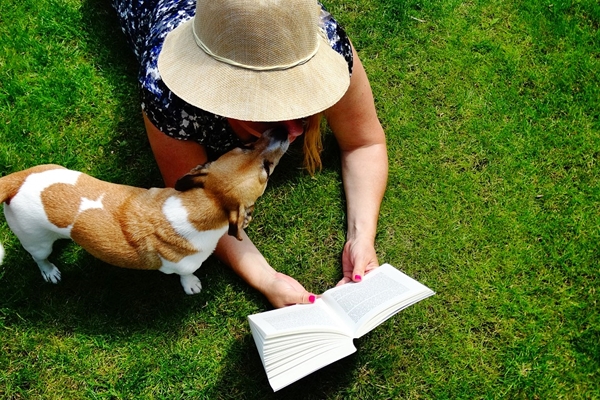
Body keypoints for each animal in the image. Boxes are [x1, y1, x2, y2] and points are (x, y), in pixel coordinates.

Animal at [0, 128, 288, 294]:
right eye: (266, 169)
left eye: (244, 146)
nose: (283, 129)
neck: (204, 202)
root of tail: (17, 181)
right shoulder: (181, 266)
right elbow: (185, 274)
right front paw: (191, 285)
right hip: (36, 242)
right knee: (39, 257)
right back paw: (49, 271)